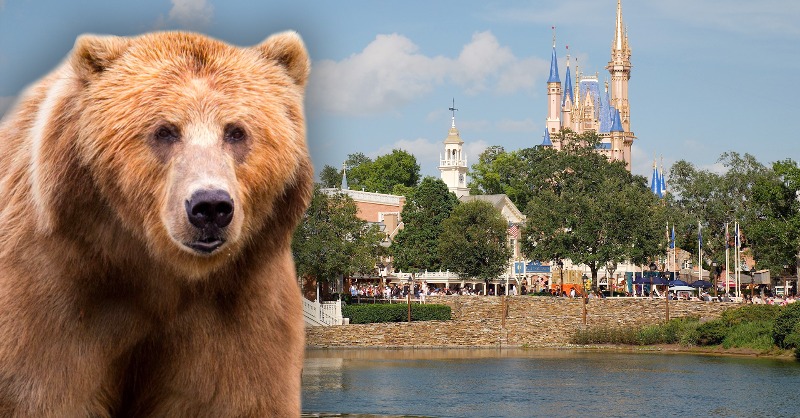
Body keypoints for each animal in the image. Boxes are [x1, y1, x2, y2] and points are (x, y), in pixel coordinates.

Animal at [0, 31, 313, 417]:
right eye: (165, 131)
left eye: (236, 132)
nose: (210, 206)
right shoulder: (50, 289)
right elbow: (42, 390)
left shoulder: (240, 306)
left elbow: (238, 394)